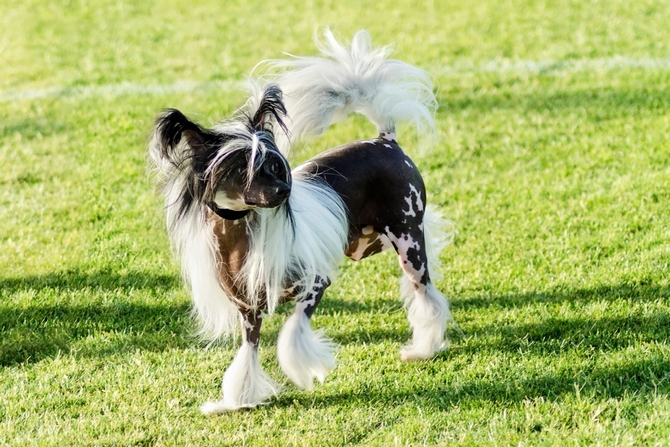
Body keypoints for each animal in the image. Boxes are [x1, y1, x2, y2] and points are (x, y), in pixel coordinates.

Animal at [151, 29, 456, 414]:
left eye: (273, 164)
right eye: (241, 169)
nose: (283, 190)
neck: (239, 238)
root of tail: (384, 141)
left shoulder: (315, 284)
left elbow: (291, 332)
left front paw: (301, 370)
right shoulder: (248, 310)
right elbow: (248, 353)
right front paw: (238, 400)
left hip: (408, 241)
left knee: (426, 293)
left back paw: (424, 349)